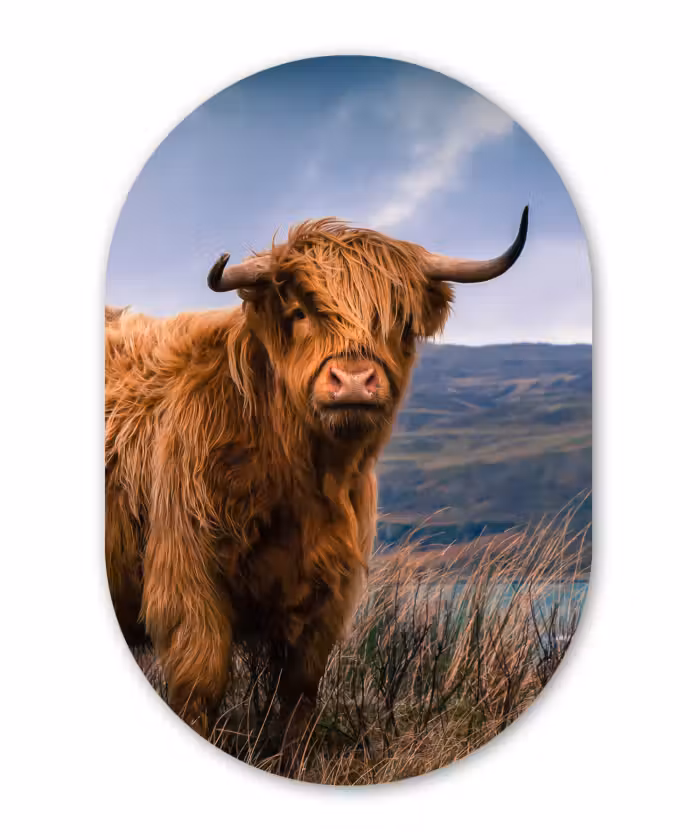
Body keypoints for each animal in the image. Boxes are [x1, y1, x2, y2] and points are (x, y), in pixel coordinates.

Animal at [105, 209, 528, 743]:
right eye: (300, 311)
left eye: (399, 321)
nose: (354, 381)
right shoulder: (187, 574)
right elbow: (200, 683)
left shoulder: (326, 592)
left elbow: (299, 694)